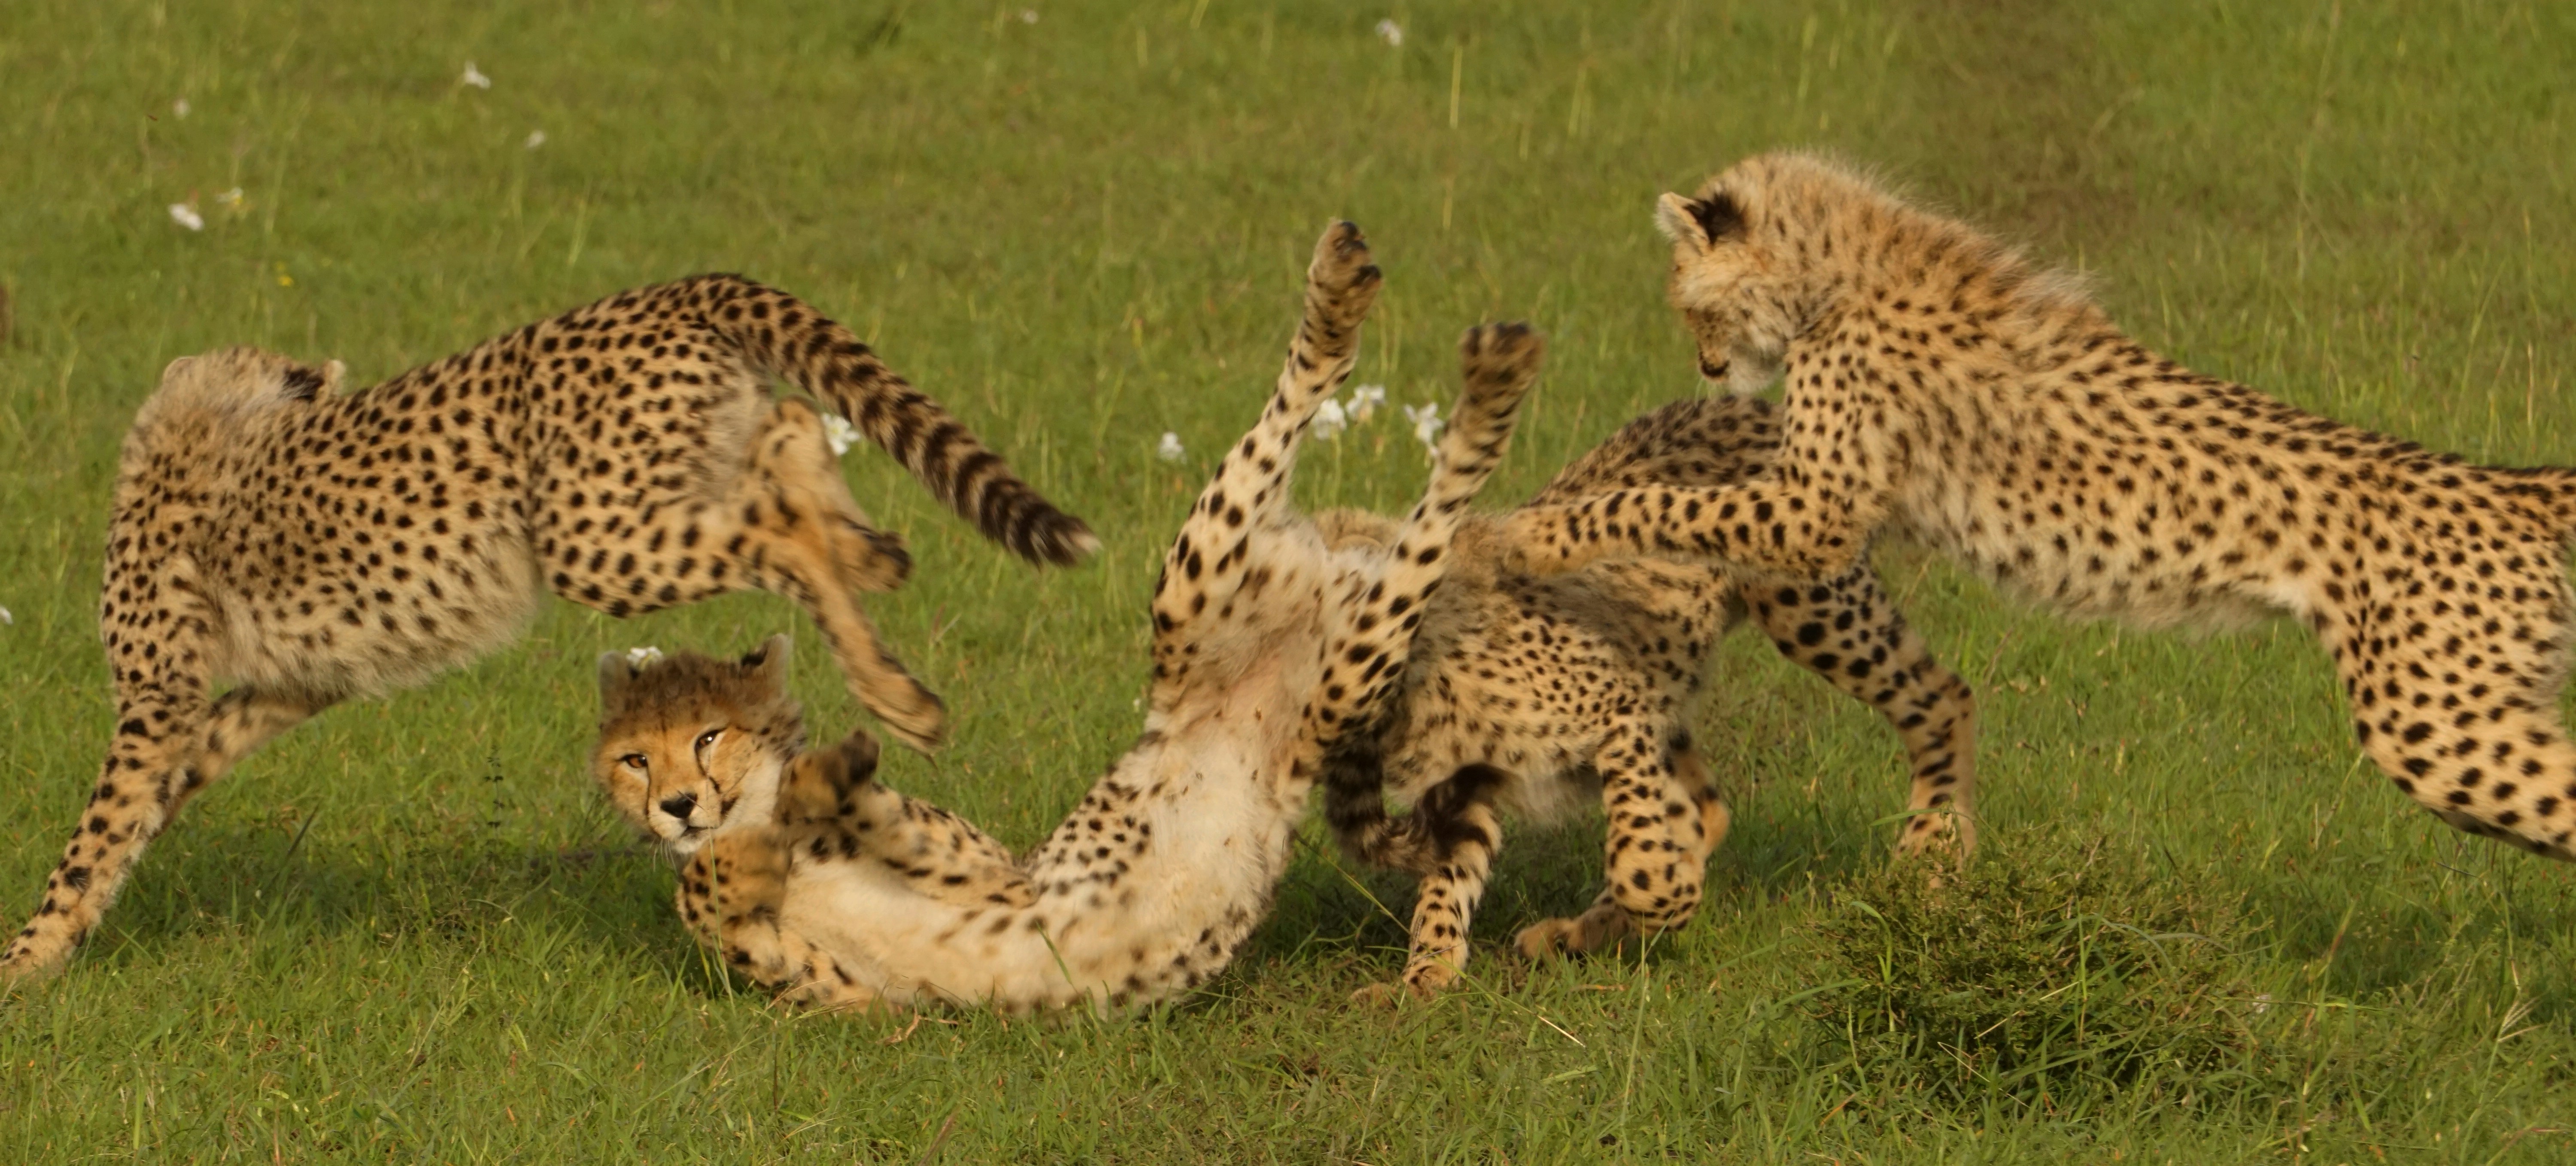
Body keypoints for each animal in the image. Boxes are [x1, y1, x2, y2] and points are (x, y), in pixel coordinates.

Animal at [2, 274, 1095, 984]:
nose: (321, 375)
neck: (206, 419)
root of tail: (674, 288)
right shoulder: (286, 686)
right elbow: (167, 789)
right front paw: (78, 923)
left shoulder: (157, 699)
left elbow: (94, 833)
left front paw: (27, 958)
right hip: (667, 480)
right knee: (790, 437)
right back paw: (875, 555)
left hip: (593, 536)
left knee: (779, 524)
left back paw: (894, 686)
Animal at [629, 224, 1542, 1013]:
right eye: (635, 758)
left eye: (707, 737)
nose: (676, 805)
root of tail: (1326, 572)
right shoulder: (856, 997)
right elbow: (718, 909)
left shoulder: (1000, 878)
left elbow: (846, 819)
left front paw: (811, 790)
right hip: (1241, 602)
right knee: (1349, 473)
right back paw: (1383, 317)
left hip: (1284, 618)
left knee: (1424, 492)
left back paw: (1484, 375)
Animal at [1318, 391, 1978, 1000]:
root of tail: (1743, 402)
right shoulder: (1472, 784)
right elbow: (1447, 879)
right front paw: (1426, 973)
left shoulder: (1618, 713)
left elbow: (1642, 866)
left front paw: (1670, 896)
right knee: (1706, 808)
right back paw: (1580, 930)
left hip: (1808, 604)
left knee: (1945, 698)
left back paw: (1934, 860)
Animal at [1504, 151, 2576, 861]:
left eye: (1692, 305)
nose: (1708, 366)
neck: (1840, 268)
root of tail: (2515, 481)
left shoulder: (1814, 511)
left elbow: (1660, 500)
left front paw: (1532, 533)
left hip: (2429, 723)